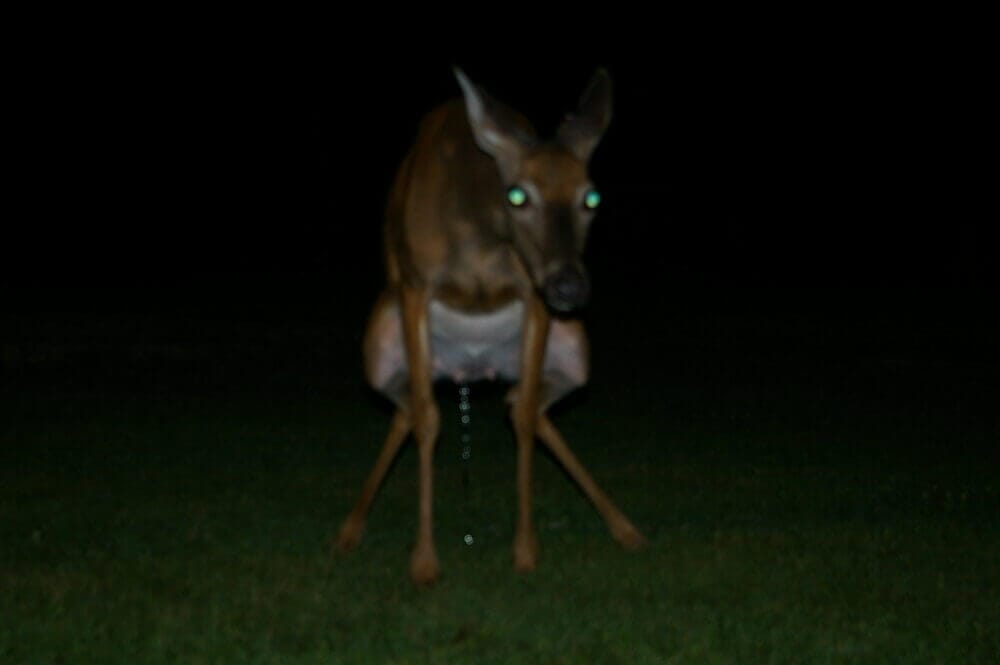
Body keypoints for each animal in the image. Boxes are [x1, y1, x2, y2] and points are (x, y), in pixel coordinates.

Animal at [335, 67, 646, 585]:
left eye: (592, 196)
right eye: (517, 194)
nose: (569, 286)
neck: (478, 242)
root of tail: (470, 370)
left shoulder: (532, 292)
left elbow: (522, 421)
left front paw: (525, 551)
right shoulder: (416, 285)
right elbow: (428, 420)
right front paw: (424, 561)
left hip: (574, 351)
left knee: (522, 403)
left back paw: (625, 528)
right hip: (378, 345)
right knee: (409, 410)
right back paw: (348, 530)